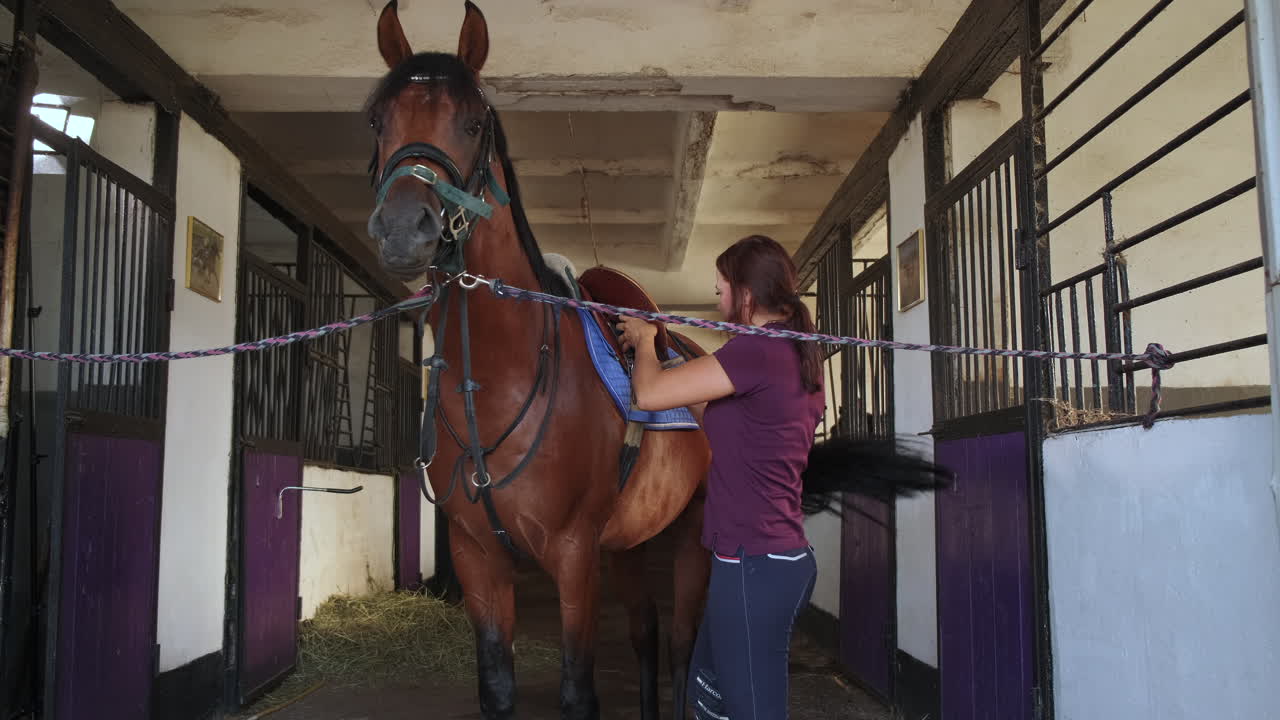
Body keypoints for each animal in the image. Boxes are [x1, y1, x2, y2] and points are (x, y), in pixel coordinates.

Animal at [363, 3, 952, 718]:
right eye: (378, 120)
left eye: (473, 121)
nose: (404, 229)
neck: (498, 382)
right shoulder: (478, 556)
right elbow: (498, 686)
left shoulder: (574, 555)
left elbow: (578, 690)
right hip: (631, 543)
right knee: (645, 632)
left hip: (691, 538)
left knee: (680, 643)